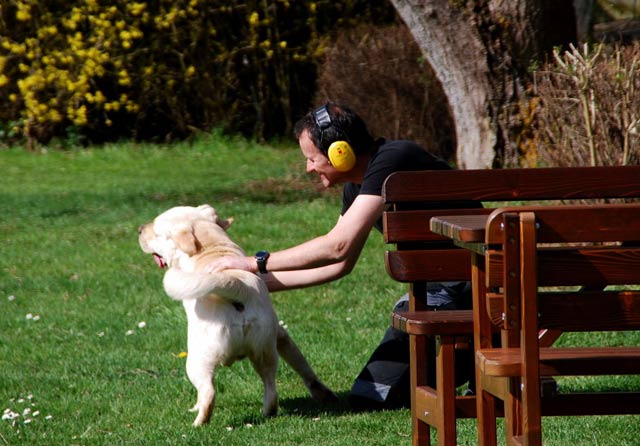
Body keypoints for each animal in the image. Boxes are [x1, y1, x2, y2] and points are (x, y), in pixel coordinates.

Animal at [138, 204, 336, 426]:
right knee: (271, 386)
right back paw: (268, 412)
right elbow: (303, 367)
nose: (139, 229)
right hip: (265, 350)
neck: (211, 246)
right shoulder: (281, 336)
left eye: (156, 230)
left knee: (208, 393)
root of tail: (235, 284)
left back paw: (198, 423)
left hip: (197, 360)